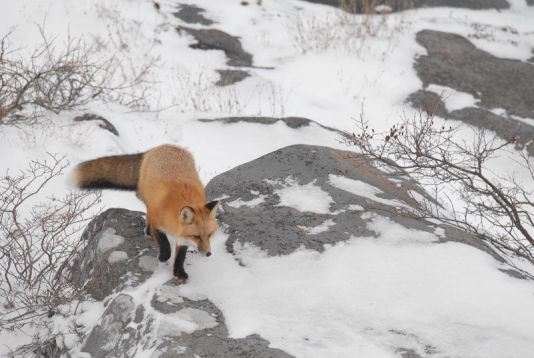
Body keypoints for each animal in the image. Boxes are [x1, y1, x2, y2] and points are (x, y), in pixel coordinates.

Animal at [73, 144, 220, 284]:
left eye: (209, 235)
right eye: (197, 236)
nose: (208, 253)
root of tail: (161, 146)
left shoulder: (182, 236)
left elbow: (180, 256)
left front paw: (179, 272)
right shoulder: (157, 222)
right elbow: (165, 245)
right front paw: (163, 257)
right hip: (146, 197)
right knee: (146, 212)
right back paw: (148, 232)